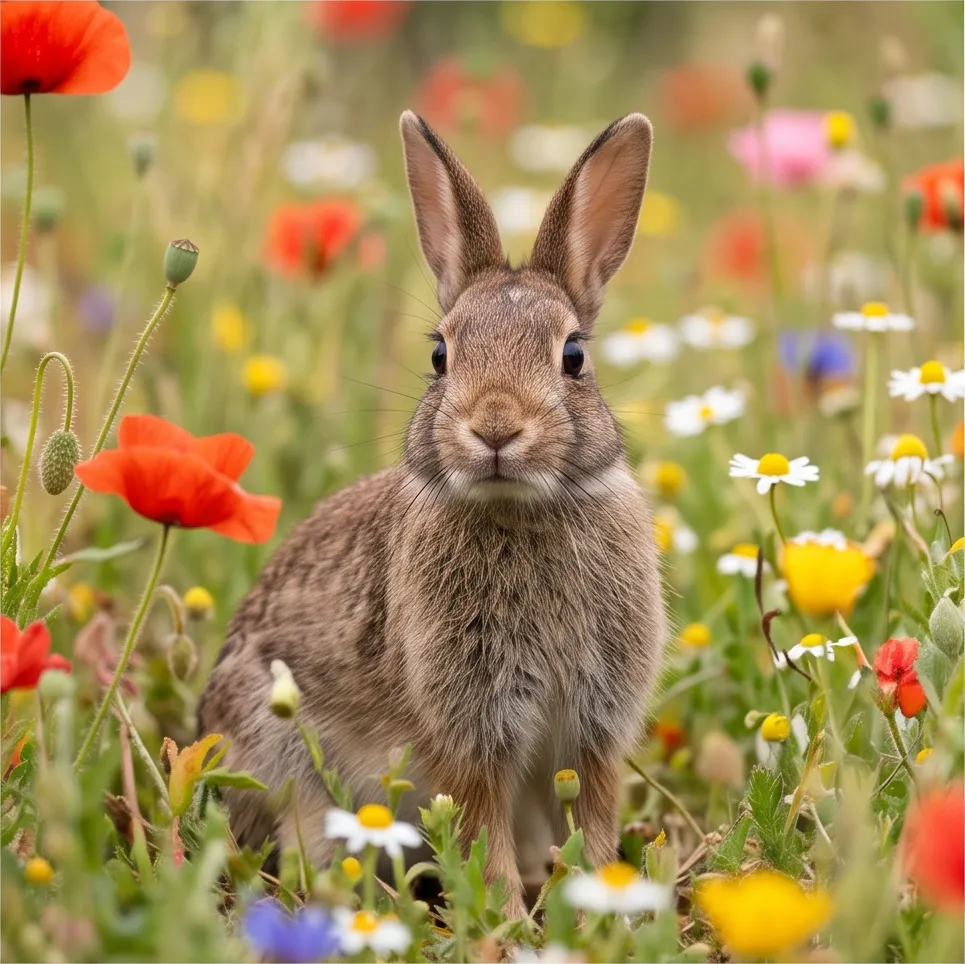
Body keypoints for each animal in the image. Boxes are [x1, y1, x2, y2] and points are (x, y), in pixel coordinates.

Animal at [199, 110, 667, 921]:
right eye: (441, 355)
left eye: (573, 356)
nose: (495, 427)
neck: (521, 510)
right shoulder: (469, 728)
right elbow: (483, 830)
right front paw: (506, 922)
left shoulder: (593, 725)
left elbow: (592, 818)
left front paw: (601, 906)